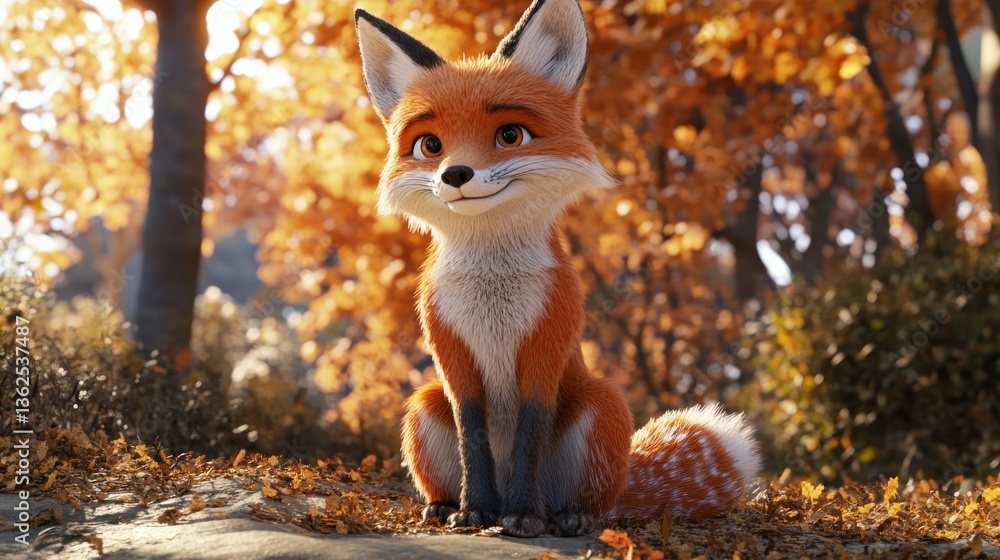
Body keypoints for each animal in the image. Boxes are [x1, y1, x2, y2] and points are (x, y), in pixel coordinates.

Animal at [354, 0, 762, 538]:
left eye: (510, 135)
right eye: (429, 146)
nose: (455, 175)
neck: (493, 290)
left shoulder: (548, 340)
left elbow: (531, 433)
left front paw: (523, 518)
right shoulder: (451, 353)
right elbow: (471, 439)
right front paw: (473, 512)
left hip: (601, 405)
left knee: (592, 503)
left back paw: (567, 516)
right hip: (423, 404)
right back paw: (447, 505)